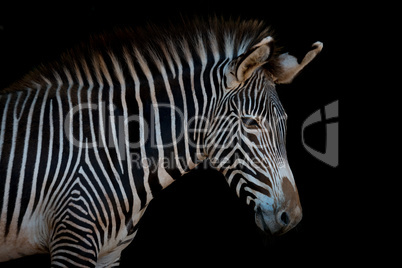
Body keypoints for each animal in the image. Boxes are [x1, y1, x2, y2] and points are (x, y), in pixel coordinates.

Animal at [0, 17, 320, 268]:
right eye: (251, 123)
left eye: (285, 122)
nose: (292, 217)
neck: (115, 147)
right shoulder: (72, 241)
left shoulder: (108, 254)